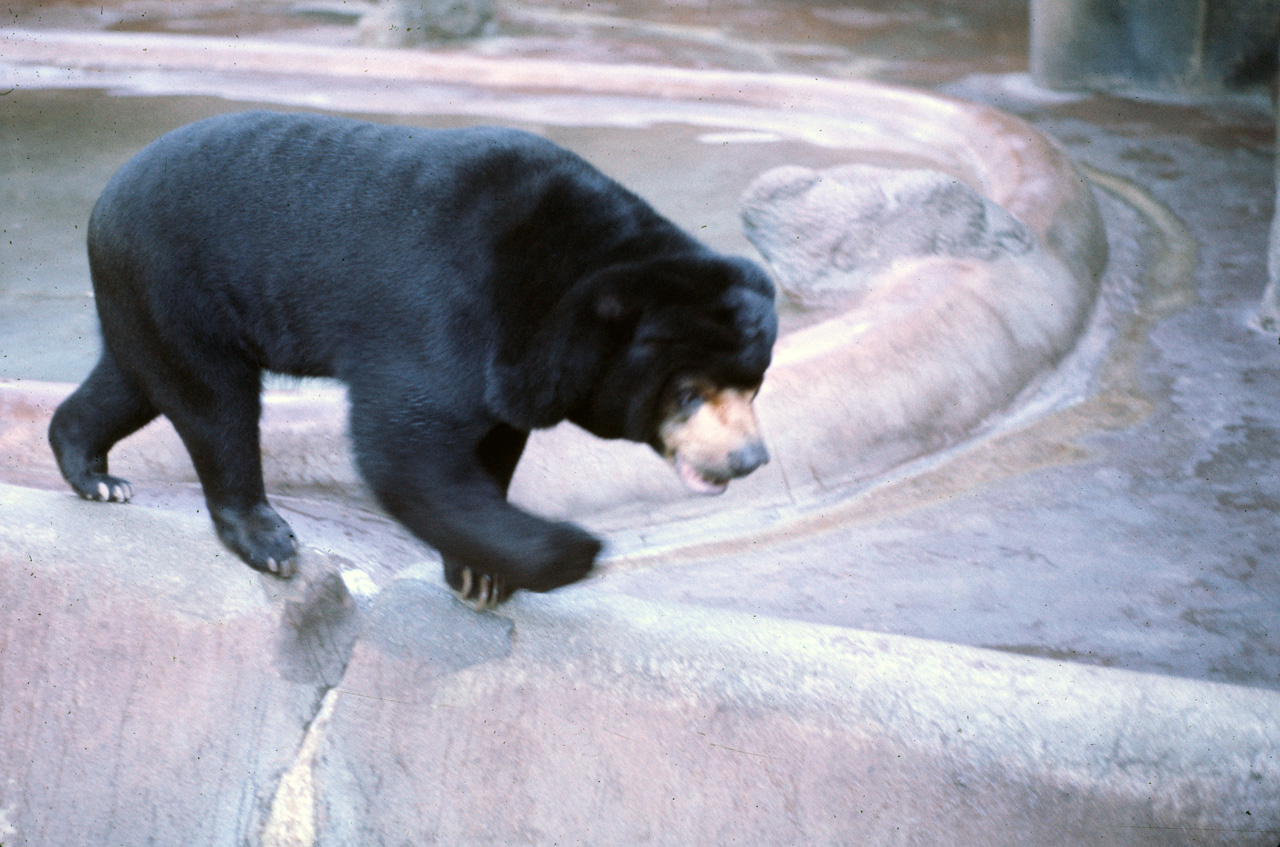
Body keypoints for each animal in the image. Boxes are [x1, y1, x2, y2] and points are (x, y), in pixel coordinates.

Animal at [49, 109, 773, 606]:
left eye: (753, 385)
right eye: (687, 391)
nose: (749, 458)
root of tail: (106, 197)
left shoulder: (510, 363)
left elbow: (489, 440)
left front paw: (479, 574)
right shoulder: (445, 309)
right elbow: (405, 446)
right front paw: (571, 550)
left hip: (150, 298)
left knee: (136, 378)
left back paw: (94, 472)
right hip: (178, 279)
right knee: (213, 400)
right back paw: (266, 538)